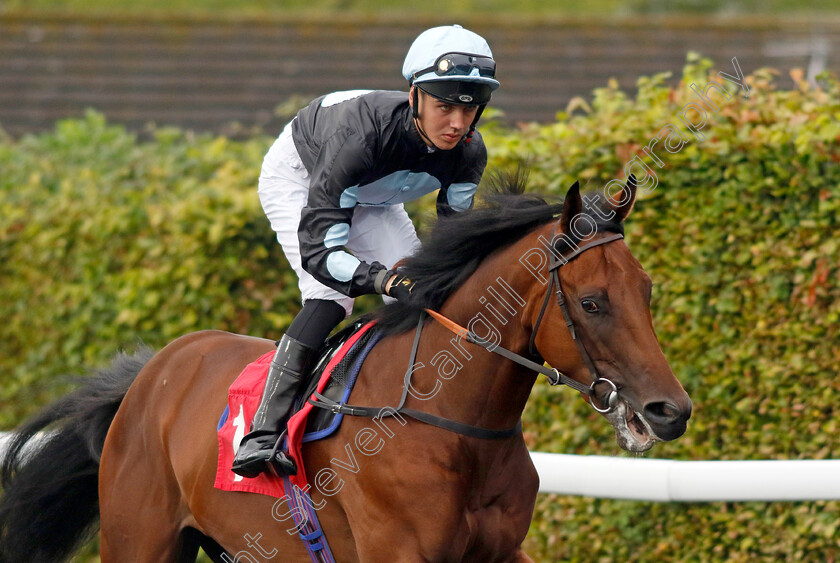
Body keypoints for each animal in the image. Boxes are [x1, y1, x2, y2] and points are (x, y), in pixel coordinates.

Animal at [0, 176, 688, 563]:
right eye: (593, 302)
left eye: (648, 289)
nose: (670, 411)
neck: (453, 424)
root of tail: (153, 374)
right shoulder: (399, 553)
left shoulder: (501, 551)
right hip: (139, 540)